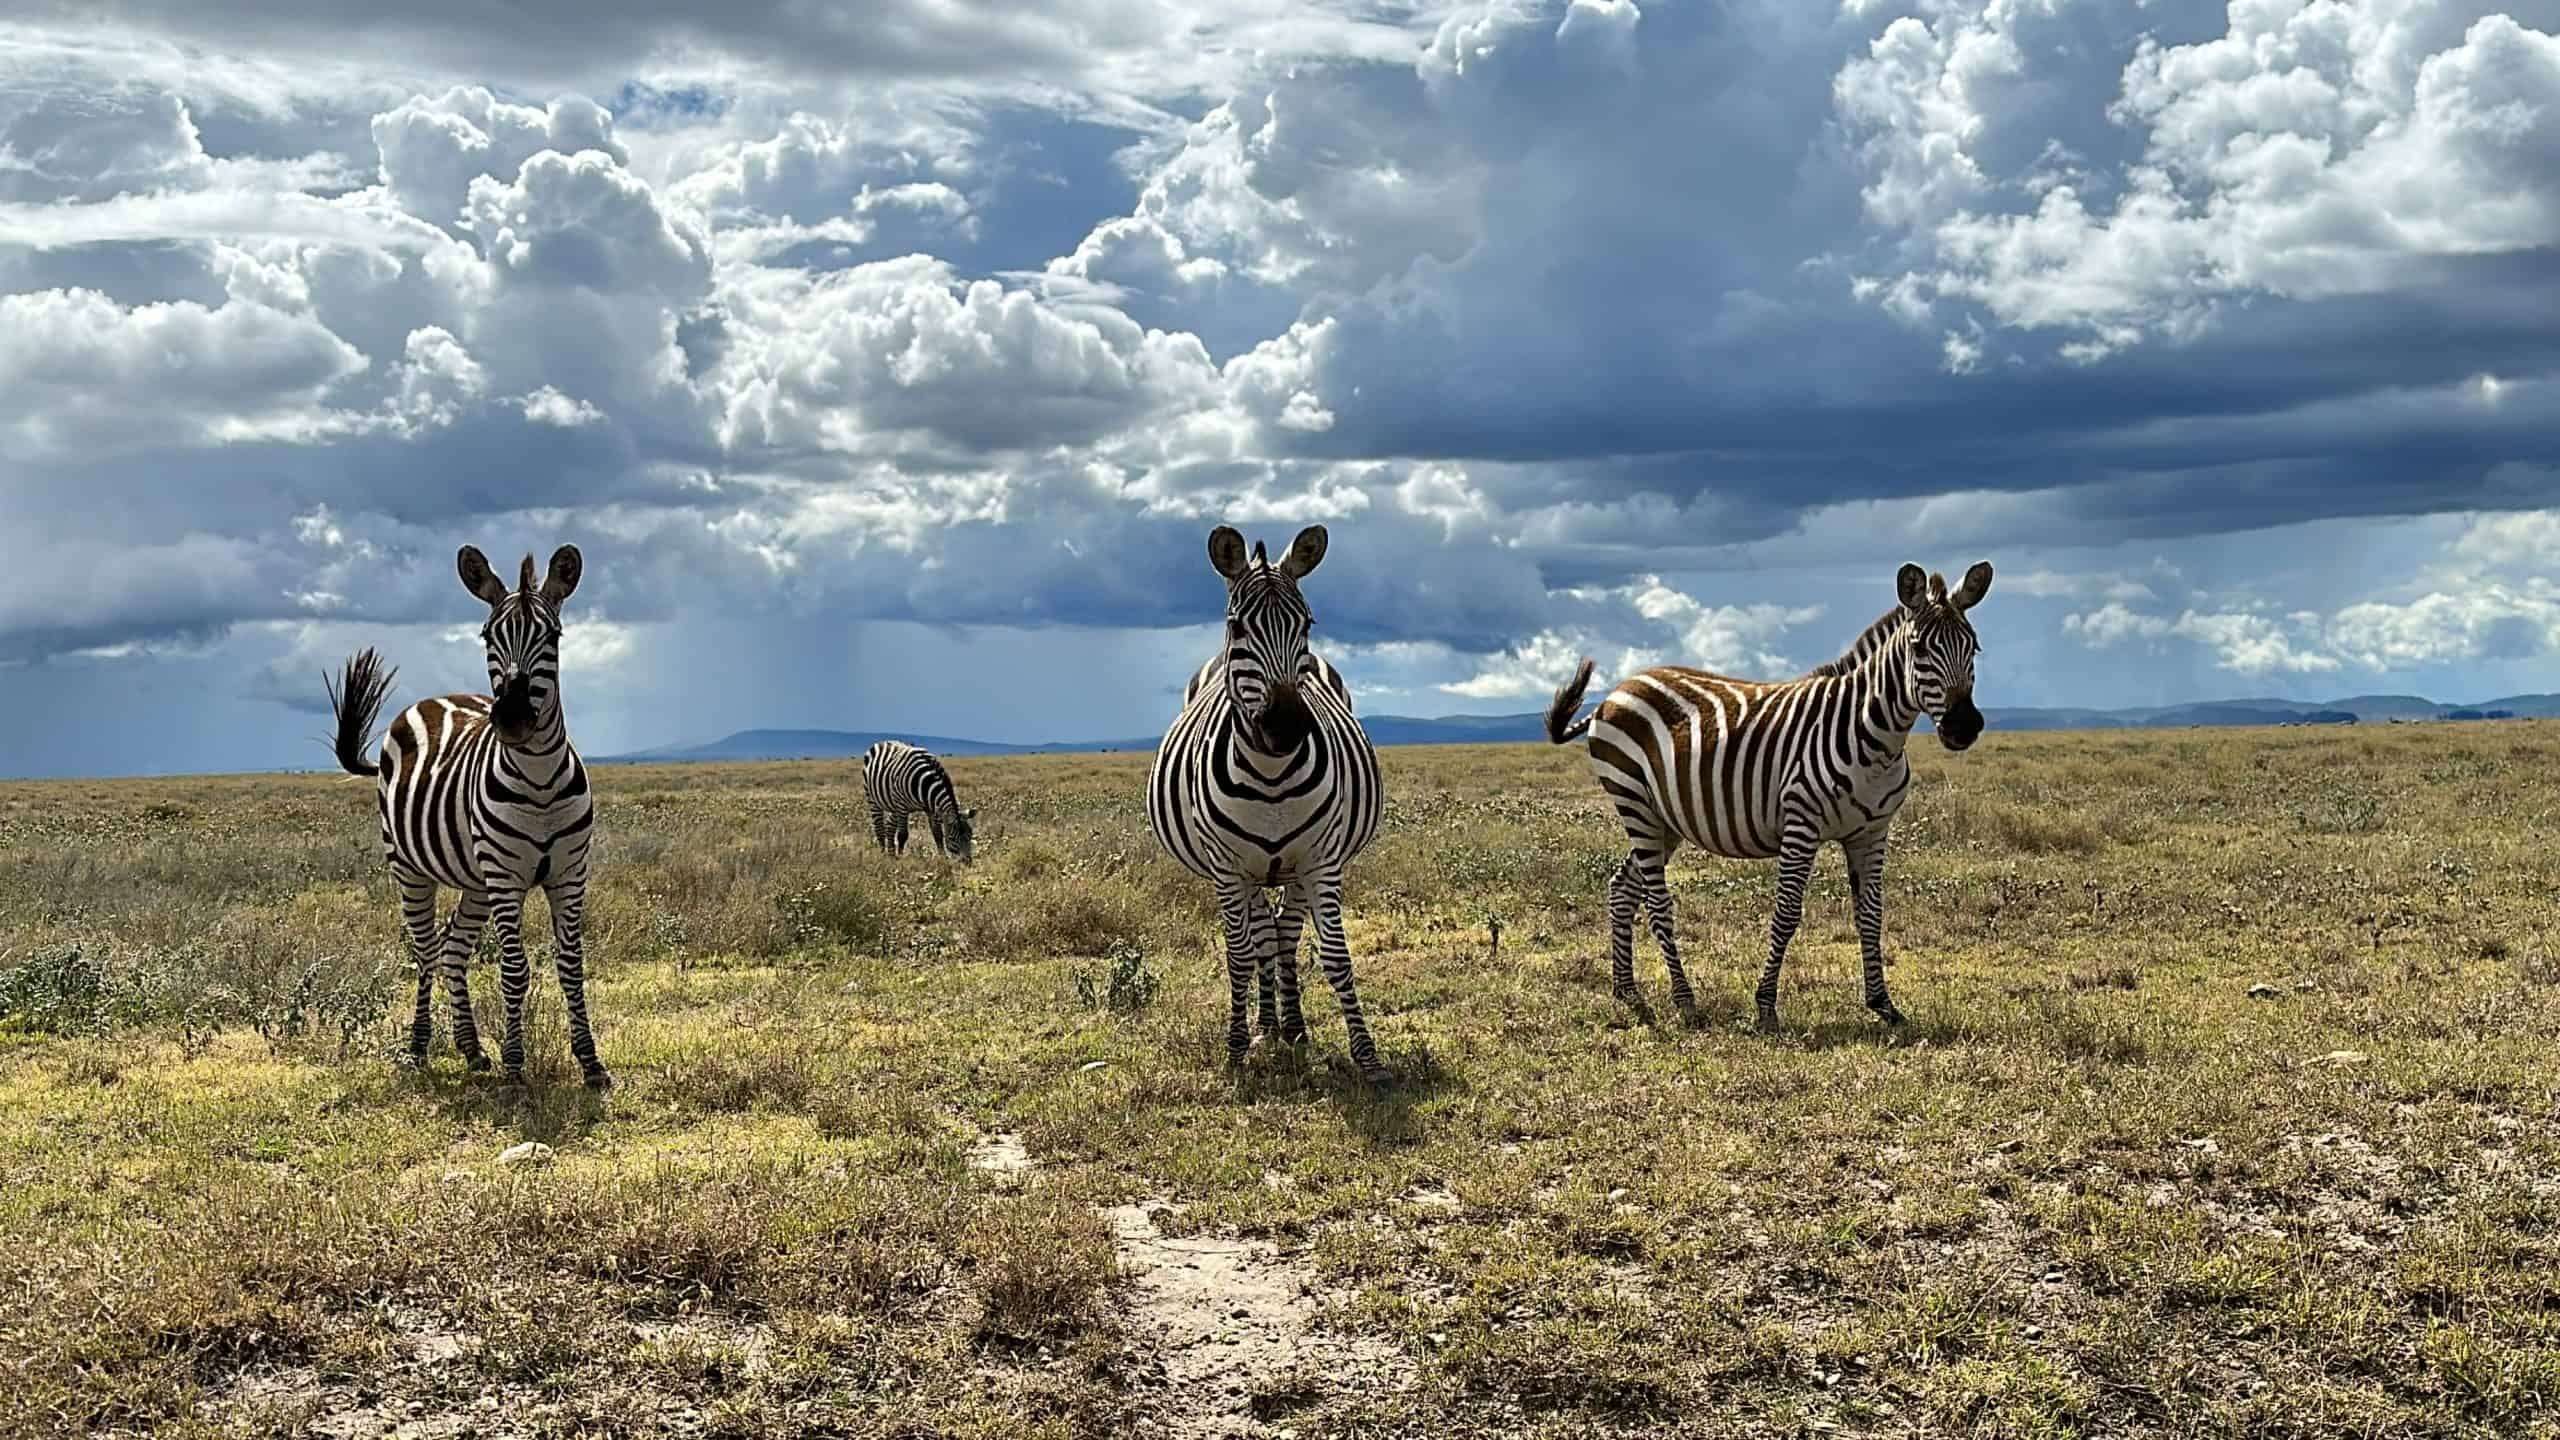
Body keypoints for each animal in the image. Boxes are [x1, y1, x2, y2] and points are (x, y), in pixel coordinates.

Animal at [325, 543, 609, 1081]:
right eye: (487, 636)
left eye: (553, 636)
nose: (513, 720)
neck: (540, 782)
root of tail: (435, 699)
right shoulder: (506, 877)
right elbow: (514, 969)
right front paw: (515, 1066)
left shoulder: (569, 874)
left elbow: (571, 964)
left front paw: (590, 1063)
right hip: (412, 868)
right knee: (426, 950)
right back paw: (419, 1047)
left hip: (476, 881)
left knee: (453, 949)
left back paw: (473, 1049)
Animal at [1152, 525, 1392, 1076]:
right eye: (1237, 626)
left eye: (1307, 624)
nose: (1286, 728)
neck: (1271, 776)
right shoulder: (1227, 868)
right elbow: (1239, 955)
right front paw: (1236, 1048)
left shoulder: (1321, 860)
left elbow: (1335, 956)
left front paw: (1367, 1056)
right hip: (1248, 872)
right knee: (1262, 937)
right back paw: (1266, 1026)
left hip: (1294, 868)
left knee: (1282, 935)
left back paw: (1292, 1026)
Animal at [1546, 556, 1986, 1024]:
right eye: (1919, 649)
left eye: (1973, 647)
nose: (1964, 726)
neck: (1875, 738)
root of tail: (1617, 690)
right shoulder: (1801, 823)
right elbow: (1788, 913)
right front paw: (1766, 1005)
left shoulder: (1871, 832)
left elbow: (1871, 914)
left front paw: (1883, 1003)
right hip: (1635, 802)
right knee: (1657, 901)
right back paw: (1684, 1000)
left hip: (1665, 820)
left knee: (1622, 888)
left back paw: (1626, 990)